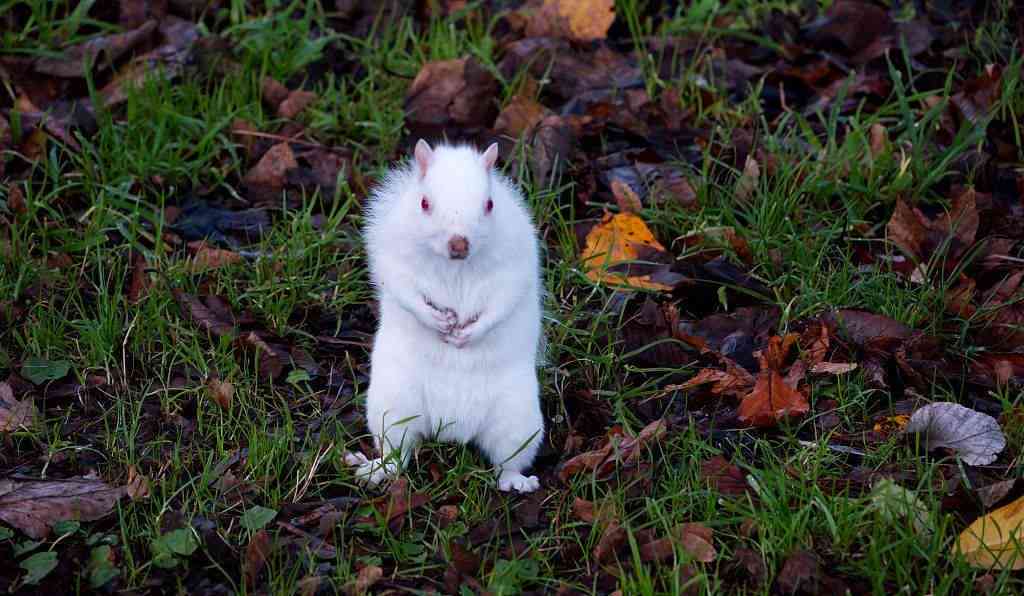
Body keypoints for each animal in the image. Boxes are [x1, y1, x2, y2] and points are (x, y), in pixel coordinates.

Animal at [344, 139, 548, 495]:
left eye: (489, 204)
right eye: (424, 203)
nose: (459, 244)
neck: (455, 266)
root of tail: (452, 426)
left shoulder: (516, 265)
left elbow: (502, 302)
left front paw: (469, 333)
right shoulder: (393, 260)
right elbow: (404, 291)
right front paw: (435, 320)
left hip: (518, 420)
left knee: (506, 461)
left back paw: (517, 481)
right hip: (393, 406)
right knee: (397, 452)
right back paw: (377, 469)